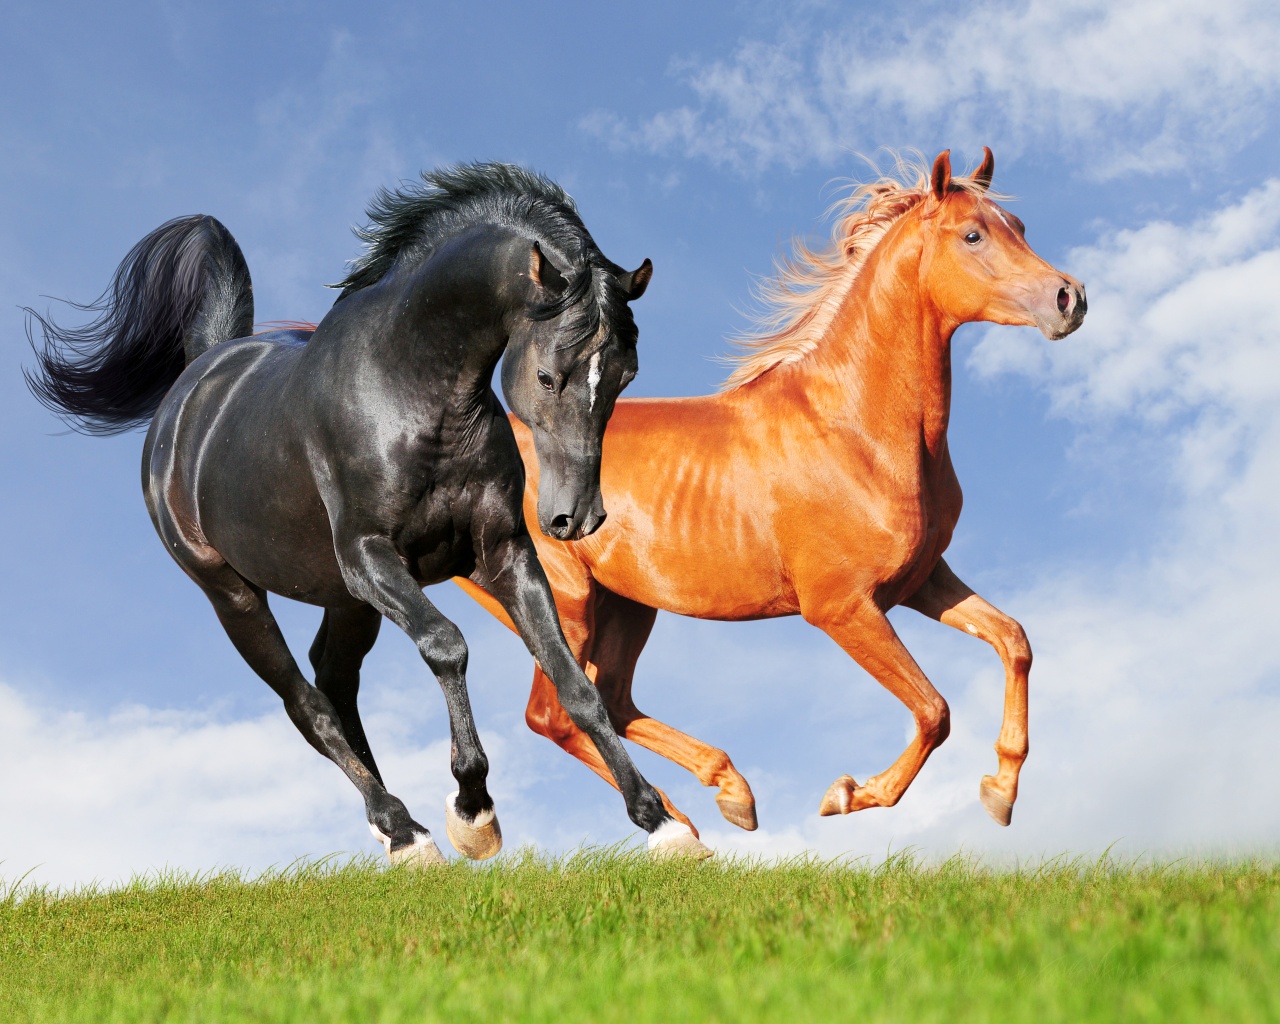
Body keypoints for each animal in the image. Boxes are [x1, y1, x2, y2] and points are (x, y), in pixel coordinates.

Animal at [27, 166, 711, 865]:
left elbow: (575, 681)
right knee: (307, 704)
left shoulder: (503, 554)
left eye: (626, 375)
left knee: (333, 682)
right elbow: (447, 646)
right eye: (548, 376)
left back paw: (396, 829)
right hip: (234, 595)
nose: (576, 518)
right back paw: (405, 830)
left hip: (344, 598)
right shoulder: (370, 556)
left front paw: (662, 822)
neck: (413, 393)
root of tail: (196, 383)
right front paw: (473, 812)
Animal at [455, 152, 1085, 839]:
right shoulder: (842, 608)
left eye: (1017, 225)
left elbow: (1013, 640)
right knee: (559, 713)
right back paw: (679, 824)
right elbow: (933, 710)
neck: (855, 429)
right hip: (563, 601)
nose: (1069, 298)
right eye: (972, 235)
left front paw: (1000, 790)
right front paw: (849, 793)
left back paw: (725, 795)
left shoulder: (920, 580)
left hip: (626, 605)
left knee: (612, 701)